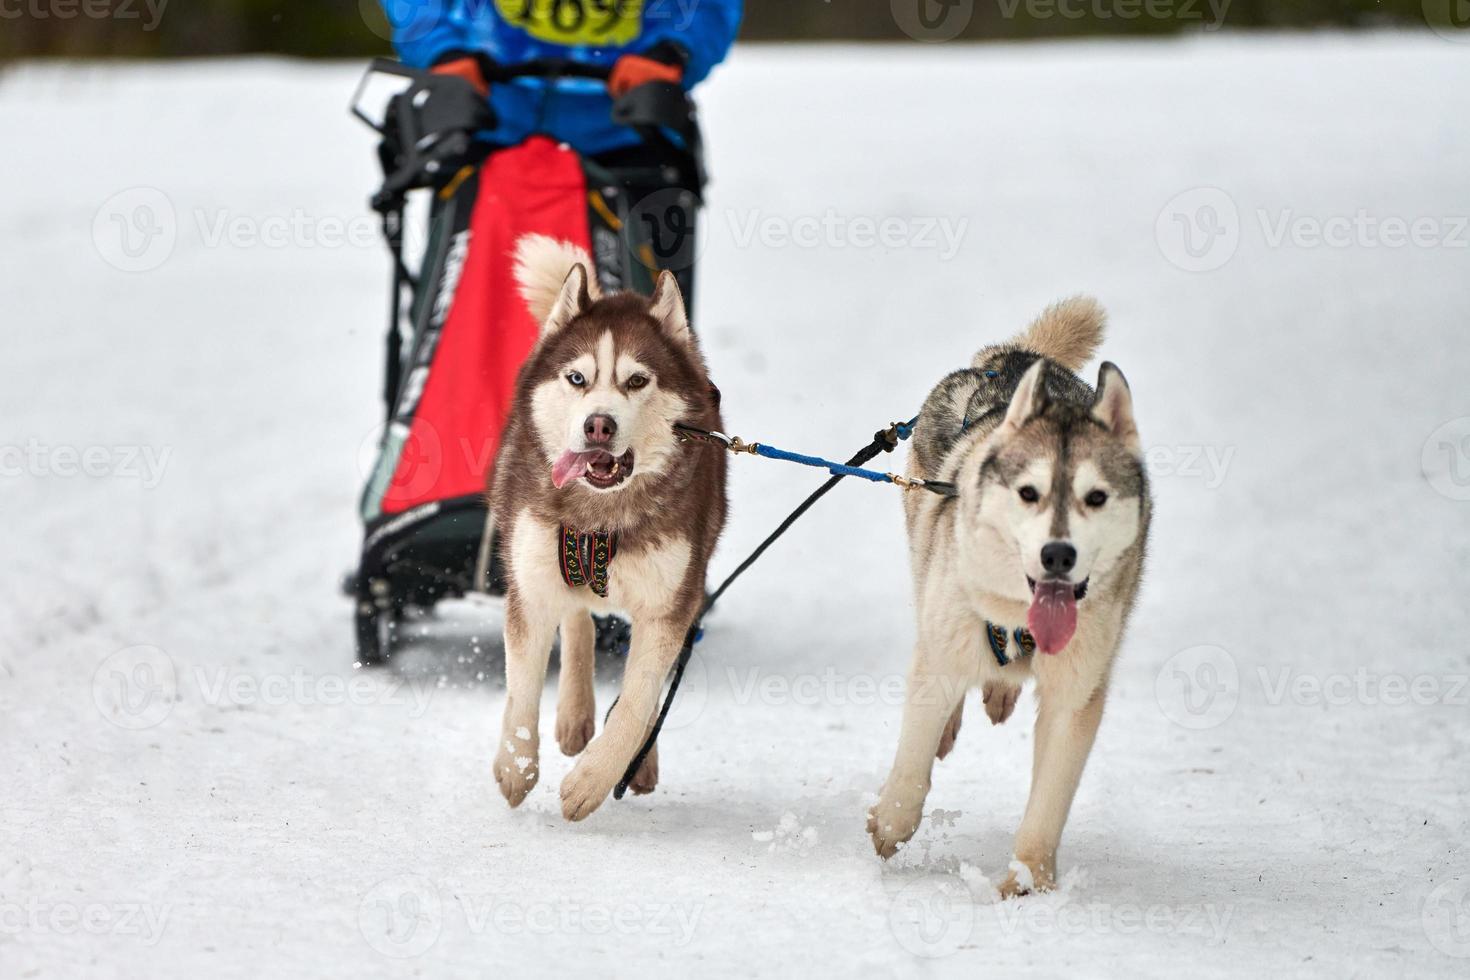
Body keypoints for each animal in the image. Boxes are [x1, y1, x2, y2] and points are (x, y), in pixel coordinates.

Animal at [490, 235, 726, 822]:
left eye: (637, 380)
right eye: (577, 378)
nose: (599, 424)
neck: (603, 517)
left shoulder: (670, 604)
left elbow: (638, 700)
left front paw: (595, 779)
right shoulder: (530, 582)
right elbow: (521, 688)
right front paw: (516, 768)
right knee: (578, 618)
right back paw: (575, 713)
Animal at [870, 299, 1146, 899]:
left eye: (1096, 497)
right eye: (1028, 493)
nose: (1058, 555)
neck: (1019, 617)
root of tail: (1017, 355)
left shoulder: (1075, 693)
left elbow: (1048, 804)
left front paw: (1026, 883)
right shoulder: (942, 653)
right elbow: (912, 764)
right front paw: (889, 825)